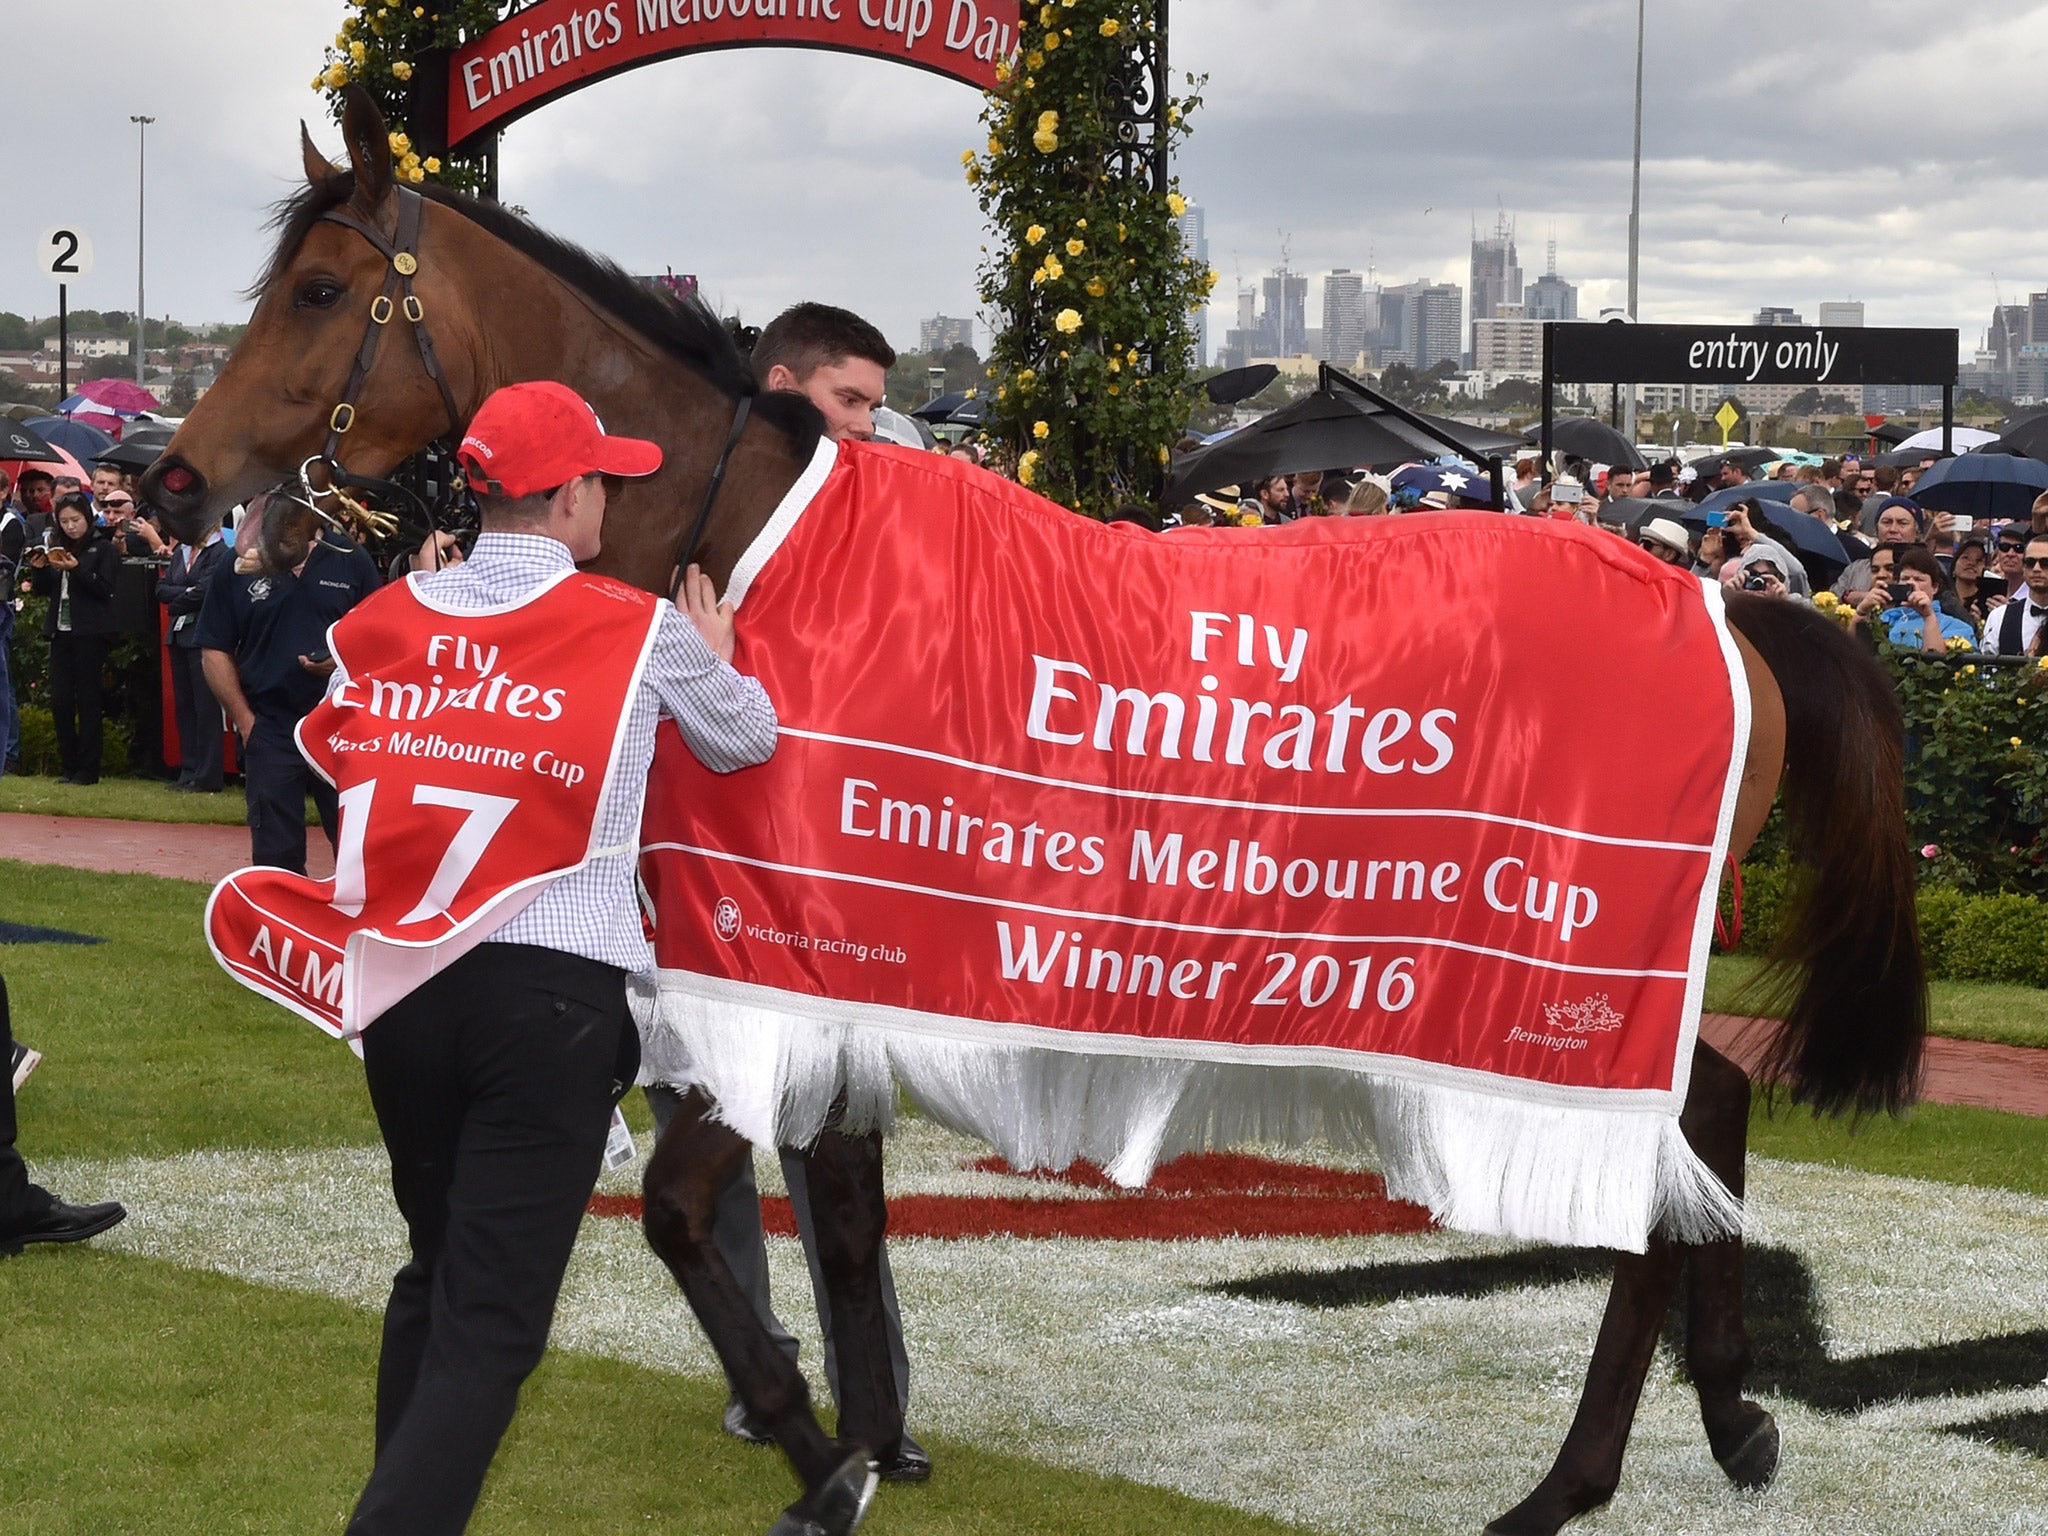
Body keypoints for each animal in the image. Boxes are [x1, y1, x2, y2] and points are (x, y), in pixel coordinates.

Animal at [144, 90, 1916, 1531]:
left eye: (317, 290)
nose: (177, 479)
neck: (755, 546)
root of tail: (1730, 603)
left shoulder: (780, 958)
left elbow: (681, 1212)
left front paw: (822, 1458)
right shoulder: (835, 962)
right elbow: (840, 1214)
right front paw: (869, 1436)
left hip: (1569, 961)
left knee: (1657, 1168)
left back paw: (1574, 1479)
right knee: (1713, 1116)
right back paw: (1732, 1415)